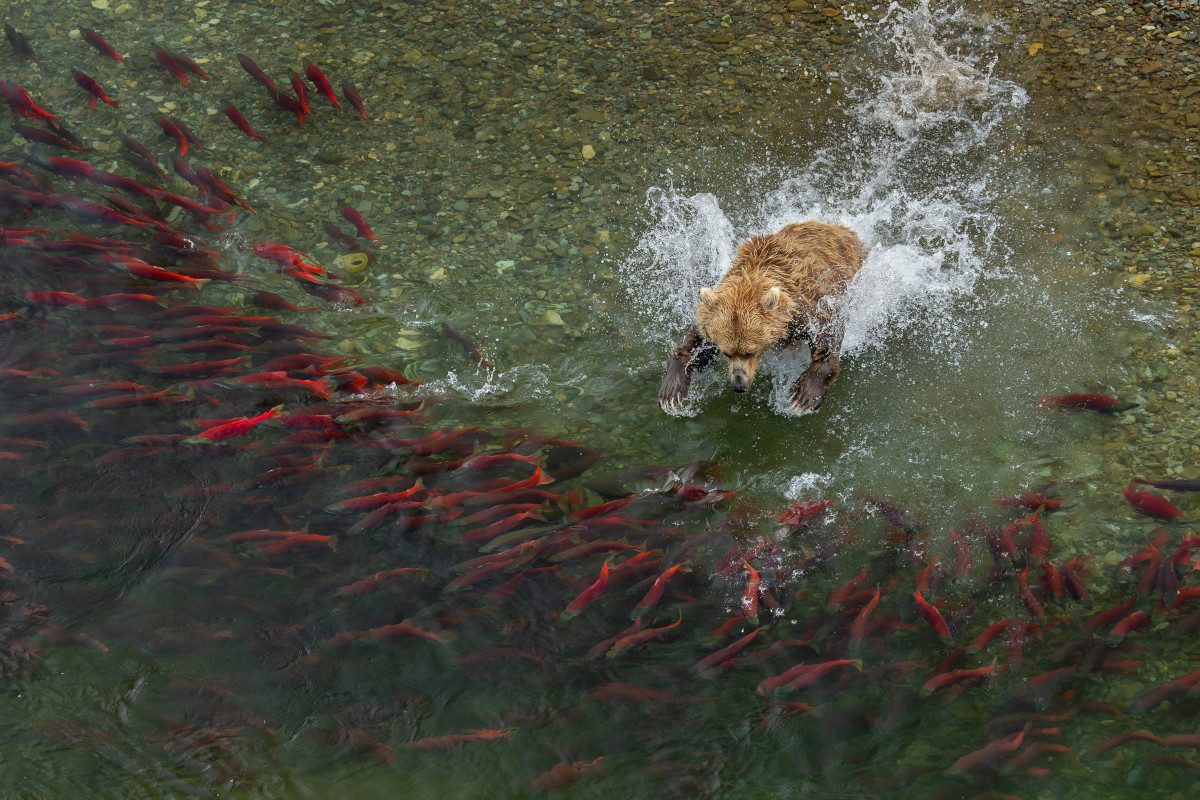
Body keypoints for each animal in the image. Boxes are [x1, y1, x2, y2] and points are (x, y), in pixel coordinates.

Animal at [658, 221, 867, 415]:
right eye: (727, 352)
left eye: (750, 352)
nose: (739, 386)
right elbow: (698, 340)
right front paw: (671, 390)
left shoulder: (808, 305)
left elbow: (828, 332)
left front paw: (803, 396)